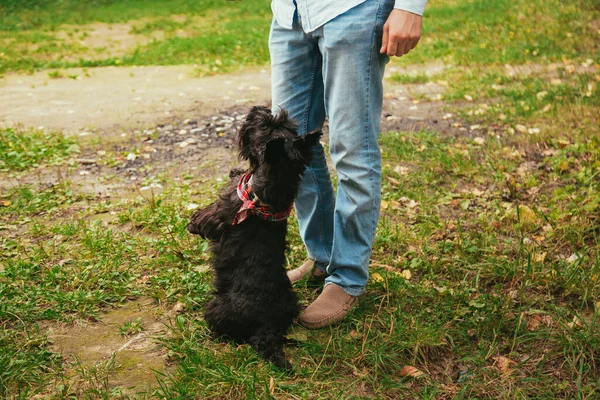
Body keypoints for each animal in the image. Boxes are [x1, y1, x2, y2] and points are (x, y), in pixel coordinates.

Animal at [186, 105, 318, 368]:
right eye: (281, 124)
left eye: (267, 126)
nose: (258, 109)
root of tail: (267, 326)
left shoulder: (218, 215)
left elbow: (203, 220)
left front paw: (191, 223)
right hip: (292, 302)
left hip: (217, 307)